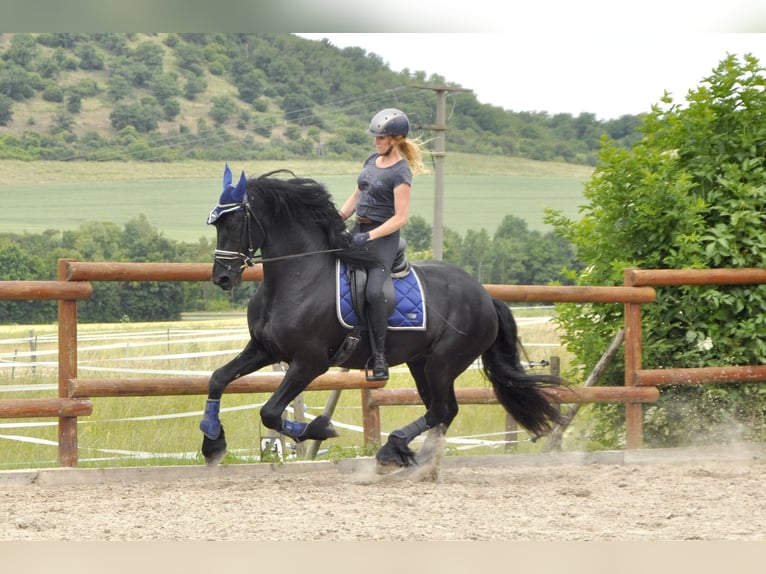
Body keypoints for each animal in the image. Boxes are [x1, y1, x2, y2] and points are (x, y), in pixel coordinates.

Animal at [199, 165, 566, 470]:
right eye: (216, 223)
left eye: (234, 223)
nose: (222, 278)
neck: (298, 276)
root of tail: (485, 296)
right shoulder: (264, 349)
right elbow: (218, 378)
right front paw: (212, 442)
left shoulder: (309, 362)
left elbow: (270, 411)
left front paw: (321, 426)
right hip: (422, 363)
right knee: (443, 411)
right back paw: (416, 459)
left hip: (443, 362)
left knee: (442, 409)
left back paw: (396, 448)